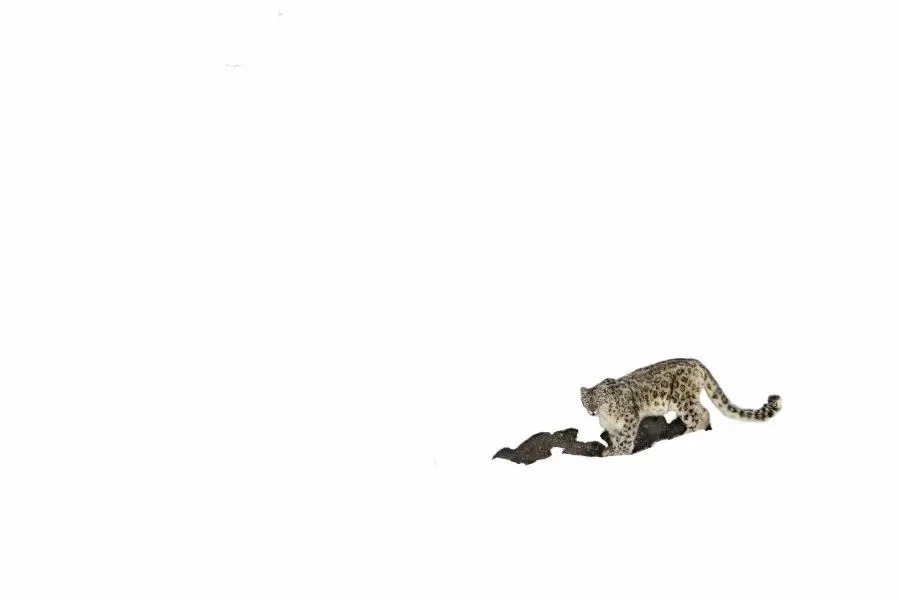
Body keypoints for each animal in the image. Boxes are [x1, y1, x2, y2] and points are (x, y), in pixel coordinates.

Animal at [580, 358, 781, 456]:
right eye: (586, 401)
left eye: (599, 399)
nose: (592, 410)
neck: (605, 417)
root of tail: (696, 362)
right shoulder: (611, 428)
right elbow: (615, 438)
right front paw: (611, 450)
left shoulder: (629, 419)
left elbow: (626, 438)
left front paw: (621, 452)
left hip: (683, 400)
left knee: (702, 413)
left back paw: (688, 433)